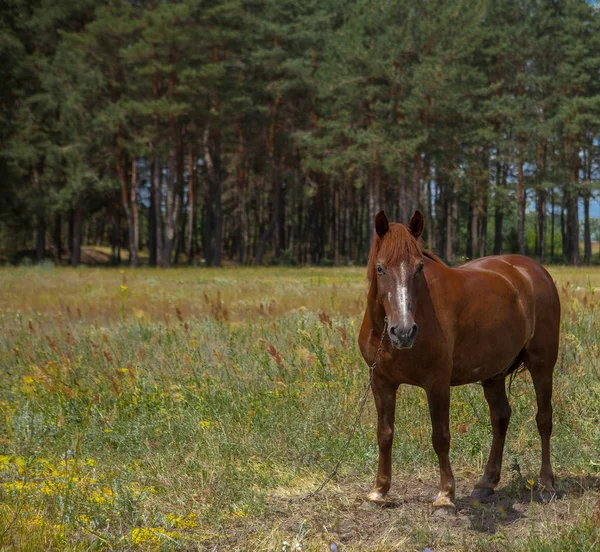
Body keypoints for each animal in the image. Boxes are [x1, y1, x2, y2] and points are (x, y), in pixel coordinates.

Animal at [360, 209, 564, 512]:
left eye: (419, 268)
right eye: (380, 268)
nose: (404, 332)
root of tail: (534, 271)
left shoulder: (437, 383)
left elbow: (441, 436)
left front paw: (445, 496)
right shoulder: (381, 382)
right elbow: (384, 434)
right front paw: (378, 492)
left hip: (542, 363)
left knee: (544, 419)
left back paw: (546, 484)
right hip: (493, 372)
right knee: (500, 418)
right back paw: (486, 483)